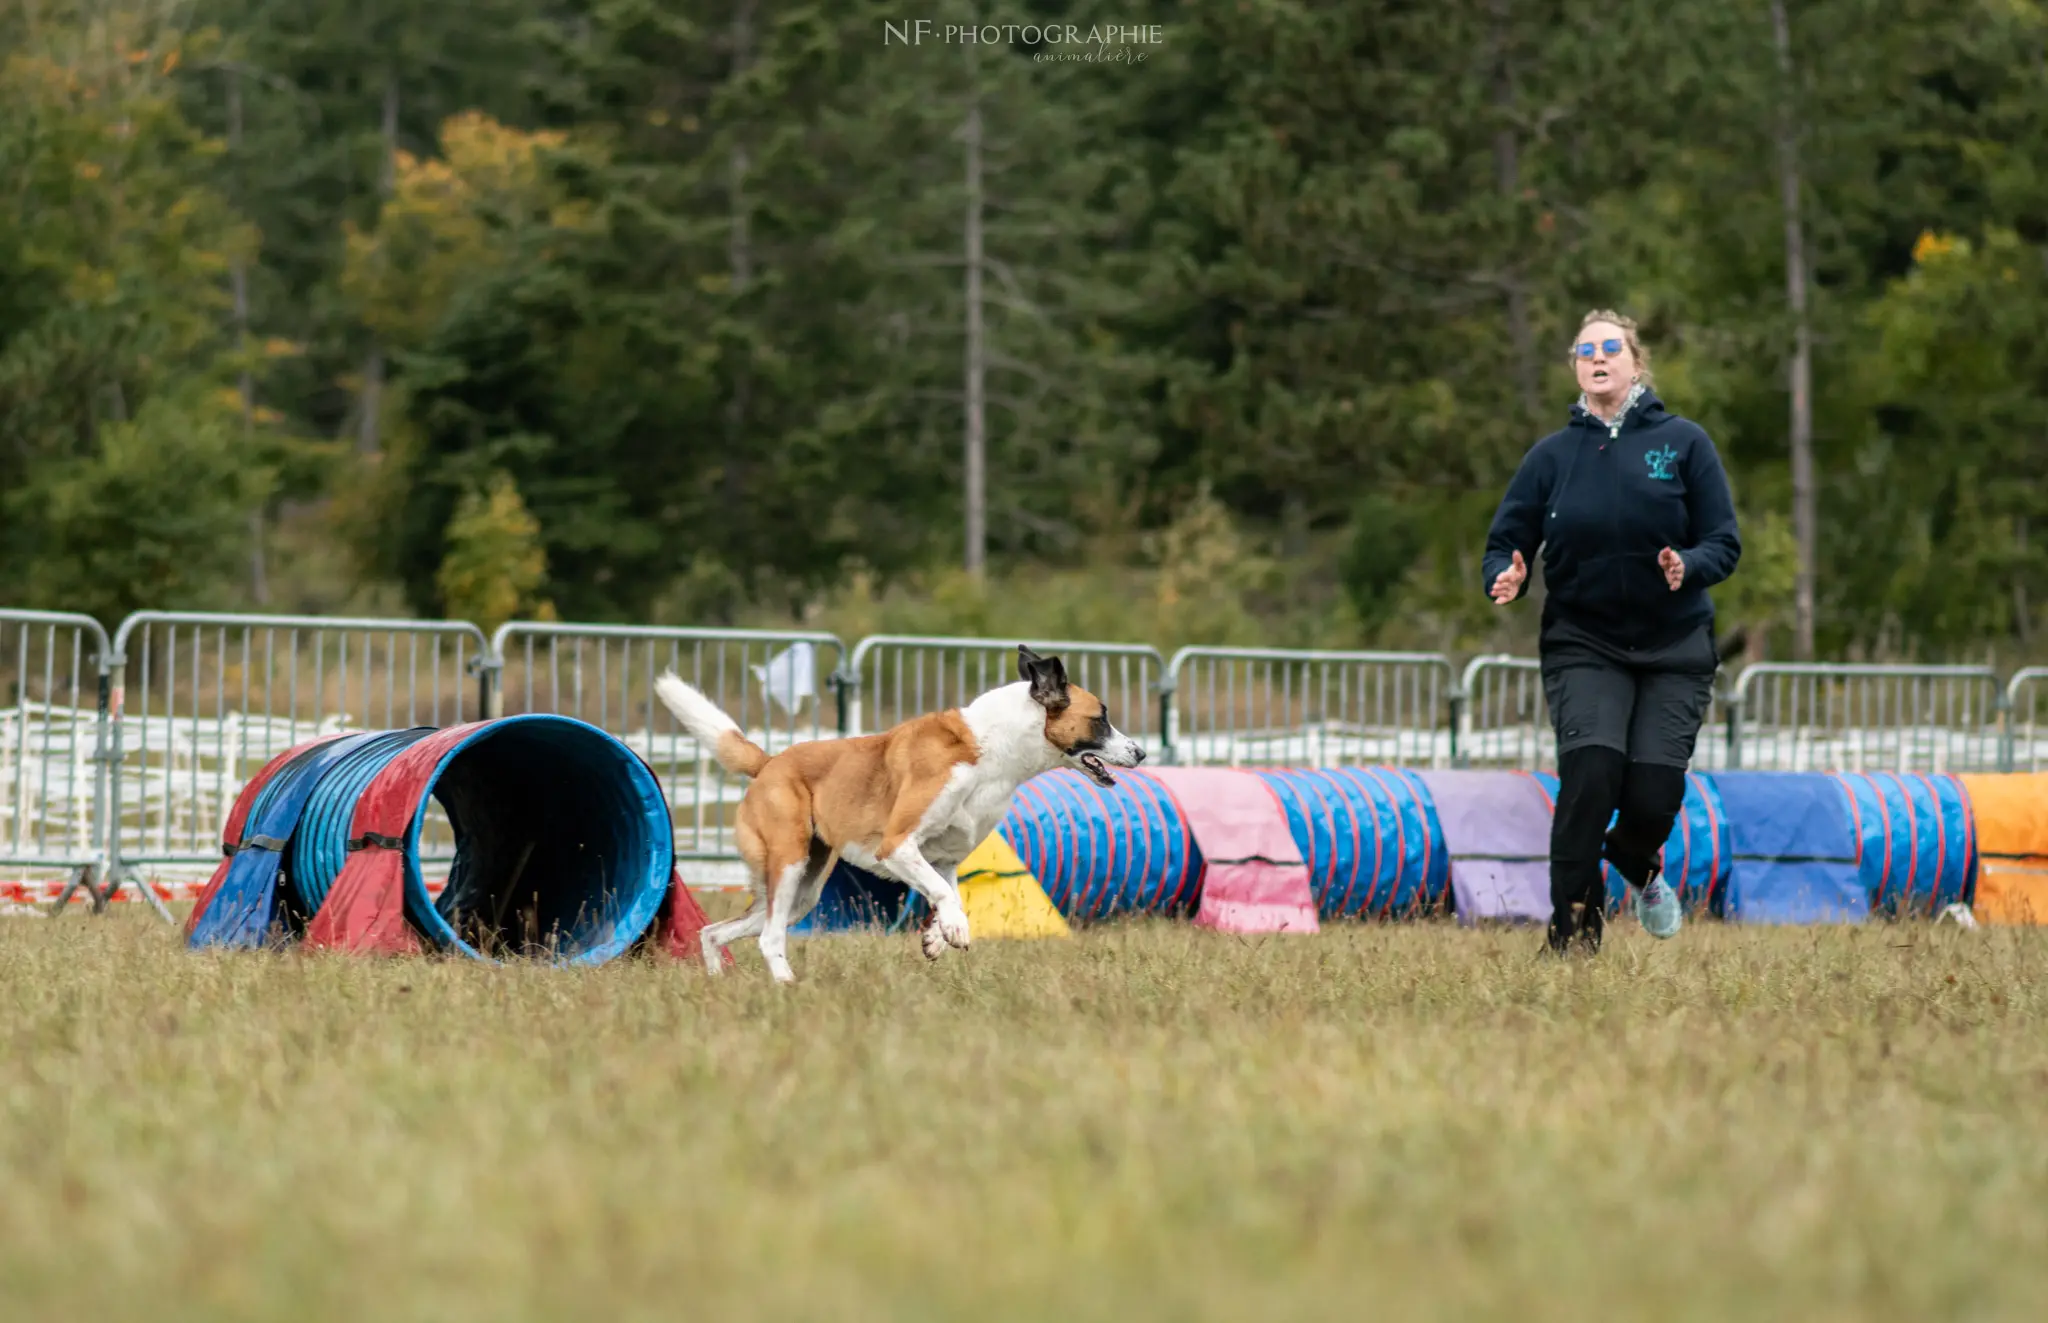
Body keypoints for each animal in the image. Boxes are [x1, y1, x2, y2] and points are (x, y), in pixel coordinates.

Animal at [651, 647, 1146, 978]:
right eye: (1100, 718)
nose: (1141, 753)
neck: (994, 748)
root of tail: (769, 762)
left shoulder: (943, 859)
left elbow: (950, 893)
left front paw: (936, 937)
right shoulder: (898, 847)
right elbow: (946, 897)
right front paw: (955, 932)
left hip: (801, 892)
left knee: (716, 932)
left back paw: (718, 982)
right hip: (789, 863)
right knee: (769, 937)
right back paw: (787, 988)